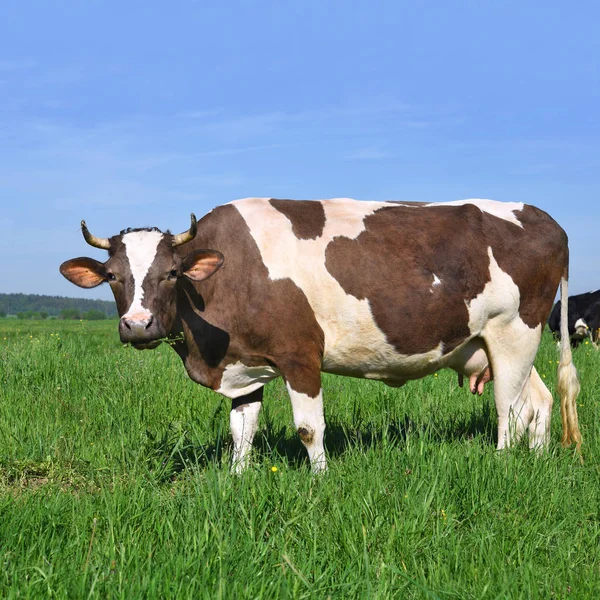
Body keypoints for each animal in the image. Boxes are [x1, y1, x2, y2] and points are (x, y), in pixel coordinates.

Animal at [59, 199, 580, 472]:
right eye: (112, 276)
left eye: (170, 273)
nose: (137, 325)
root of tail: (546, 218)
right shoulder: (242, 364)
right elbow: (241, 431)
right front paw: (236, 480)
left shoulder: (300, 356)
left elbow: (310, 429)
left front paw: (320, 480)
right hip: (495, 343)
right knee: (538, 402)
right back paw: (535, 463)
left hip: (514, 330)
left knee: (508, 410)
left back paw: (503, 464)